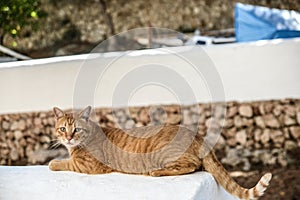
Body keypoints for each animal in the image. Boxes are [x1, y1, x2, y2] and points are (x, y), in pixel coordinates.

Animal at [49, 106, 272, 200]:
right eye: (63, 129)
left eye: (76, 129)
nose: (68, 138)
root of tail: (198, 135)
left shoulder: (88, 165)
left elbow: (64, 163)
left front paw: (53, 162)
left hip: (164, 154)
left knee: (190, 165)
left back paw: (156, 172)